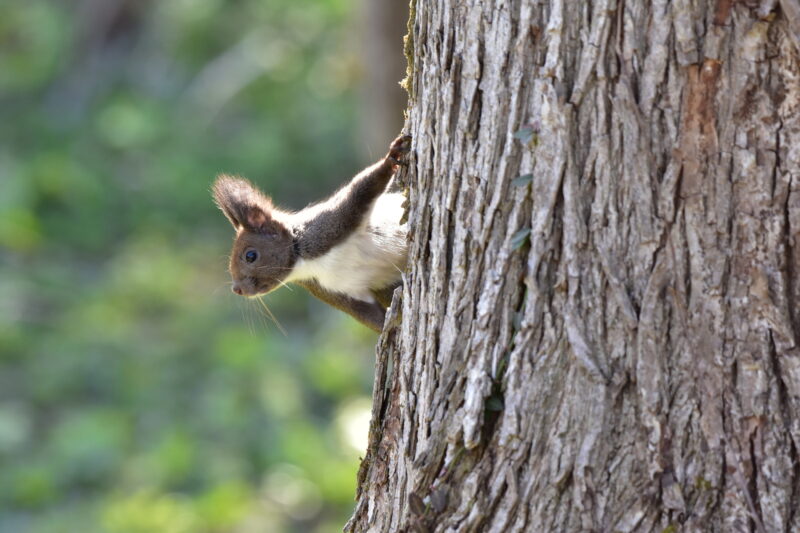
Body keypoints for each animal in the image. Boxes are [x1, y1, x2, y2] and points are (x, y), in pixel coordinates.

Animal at [212, 134, 412, 332]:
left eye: (250, 256)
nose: (237, 289)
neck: (304, 262)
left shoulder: (329, 224)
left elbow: (360, 190)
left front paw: (391, 158)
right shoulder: (332, 289)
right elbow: (366, 314)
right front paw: (391, 330)